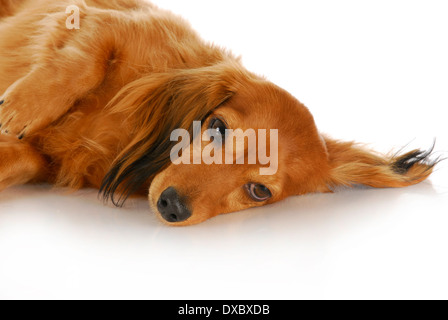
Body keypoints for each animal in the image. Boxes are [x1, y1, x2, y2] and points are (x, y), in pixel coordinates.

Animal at [0, 0, 440, 226]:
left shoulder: (44, 160)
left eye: (259, 191)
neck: (126, 133)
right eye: (217, 127)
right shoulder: (104, 21)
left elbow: (22, 157)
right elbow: (80, 63)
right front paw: (22, 108)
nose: (172, 206)